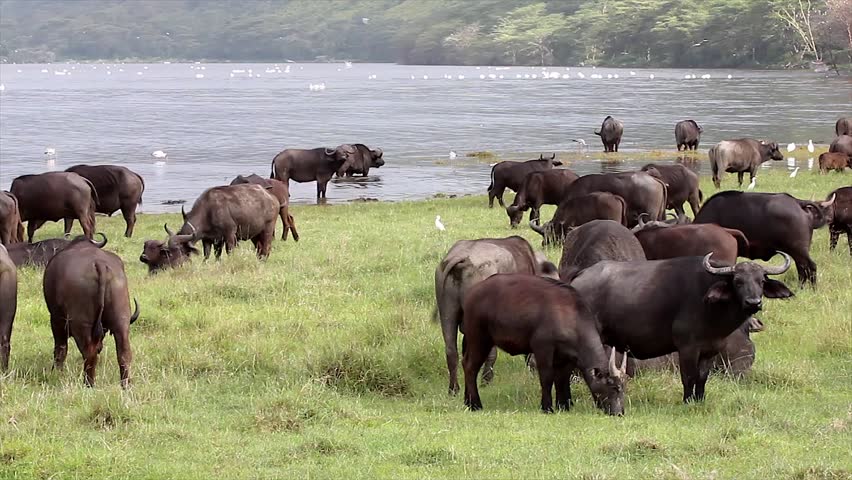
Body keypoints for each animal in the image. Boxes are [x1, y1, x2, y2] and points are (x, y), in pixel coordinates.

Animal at [43, 234, 139, 387]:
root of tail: (100, 264)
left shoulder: (56, 320)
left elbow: (60, 348)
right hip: (121, 320)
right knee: (124, 353)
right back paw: (125, 384)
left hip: (81, 324)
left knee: (89, 353)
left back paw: (89, 384)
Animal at [434, 236, 557, 394]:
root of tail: (462, 259)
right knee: (488, 354)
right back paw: (485, 380)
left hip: (447, 313)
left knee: (451, 352)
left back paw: (454, 389)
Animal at [462, 274, 627, 414]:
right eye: (612, 387)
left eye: (623, 387)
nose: (619, 412)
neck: (570, 317)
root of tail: (472, 293)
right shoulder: (543, 349)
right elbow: (547, 377)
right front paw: (547, 407)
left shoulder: (567, 357)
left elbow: (562, 379)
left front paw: (564, 406)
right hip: (479, 340)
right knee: (471, 367)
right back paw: (475, 404)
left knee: (464, 363)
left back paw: (467, 401)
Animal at [571, 252, 793, 403]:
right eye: (737, 281)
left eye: (761, 281)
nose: (753, 302)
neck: (710, 306)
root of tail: (578, 279)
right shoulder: (687, 348)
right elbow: (688, 376)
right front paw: (687, 401)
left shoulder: (711, 349)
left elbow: (702, 377)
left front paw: (699, 400)